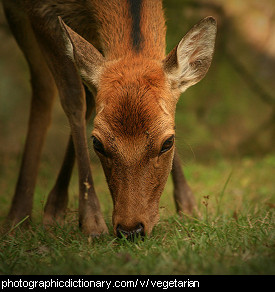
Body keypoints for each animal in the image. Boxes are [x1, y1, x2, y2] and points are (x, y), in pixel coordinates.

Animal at [2, 0, 218, 240]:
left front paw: (189, 208)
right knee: (44, 87)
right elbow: (73, 98)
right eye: (97, 143)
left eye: (168, 142)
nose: (131, 229)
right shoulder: (39, 12)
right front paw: (91, 223)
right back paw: (18, 217)